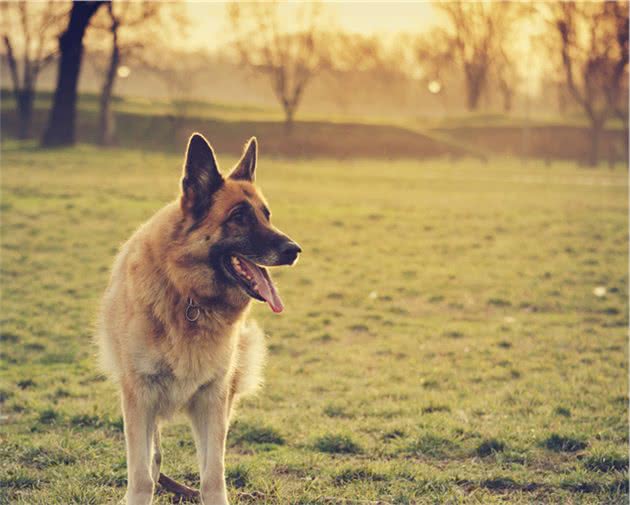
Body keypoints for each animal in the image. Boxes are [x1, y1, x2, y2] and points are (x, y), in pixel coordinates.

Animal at [95, 134, 302, 504]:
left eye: (266, 215)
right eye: (239, 217)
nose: (295, 250)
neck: (188, 296)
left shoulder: (212, 401)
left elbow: (212, 476)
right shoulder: (139, 398)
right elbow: (141, 476)